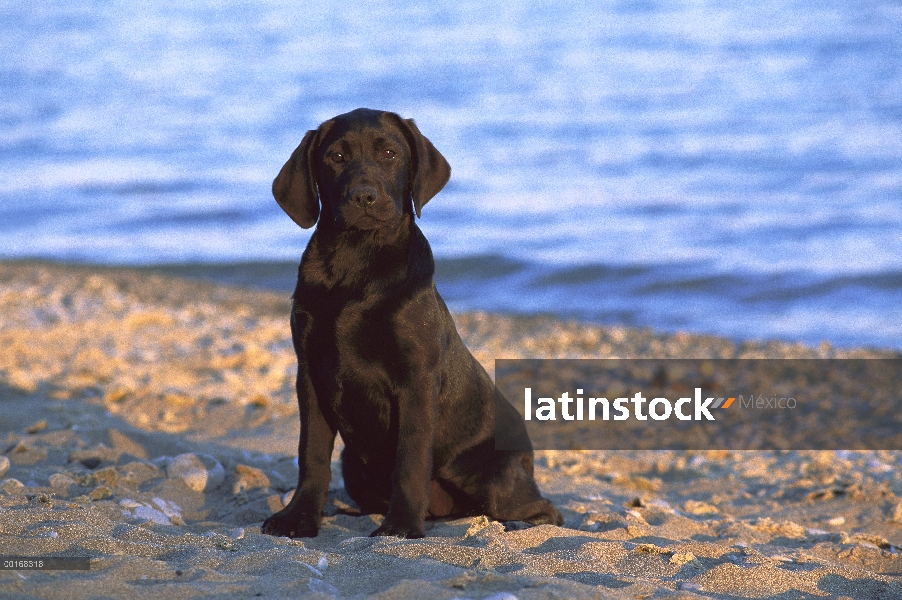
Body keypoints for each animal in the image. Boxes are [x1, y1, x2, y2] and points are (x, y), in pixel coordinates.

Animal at [258, 108, 560, 540]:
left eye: (389, 153)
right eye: (335, 157)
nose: (364, 196)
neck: (357, 259)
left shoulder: (416, 380)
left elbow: (411, 458)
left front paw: (400, 525)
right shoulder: (310, 374)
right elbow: (311, 454)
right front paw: (298, 517)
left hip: (494, 478)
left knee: (545, 509)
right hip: (354, 466)